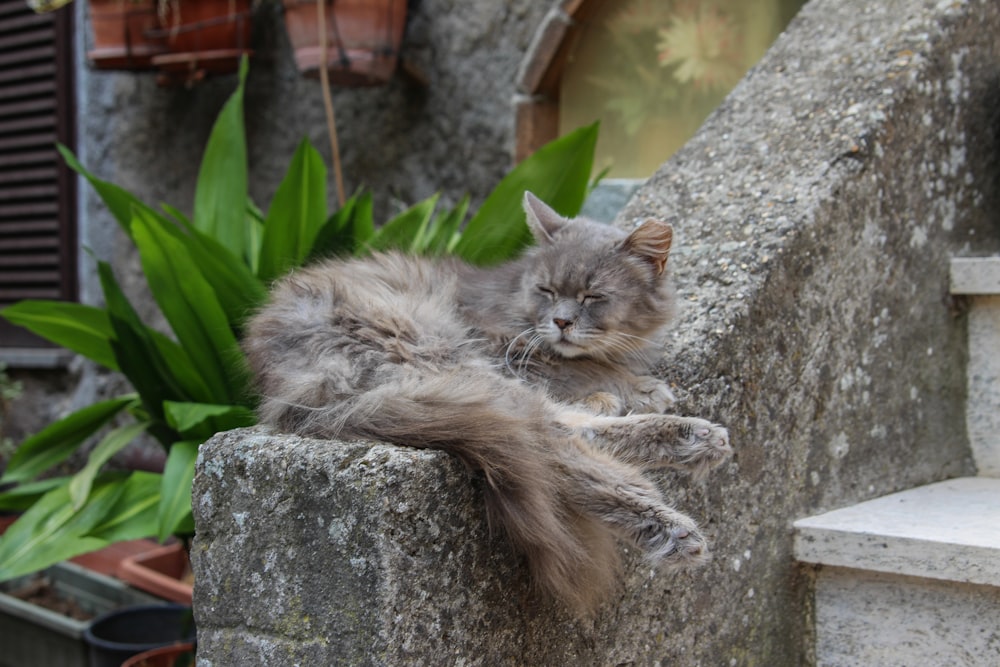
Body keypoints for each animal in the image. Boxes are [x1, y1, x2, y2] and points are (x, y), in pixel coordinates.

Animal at [242, 192, 728, 616]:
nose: (561, 322)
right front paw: (636, 387)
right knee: (552, 446)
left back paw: (696, 439)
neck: (514, 292)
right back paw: (669, 524)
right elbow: (583, 369)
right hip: (441, 354)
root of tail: (284, 384)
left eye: (592, 296)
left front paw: (618, 387)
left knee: (563, 431)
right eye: (547, 291)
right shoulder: (507, 346)